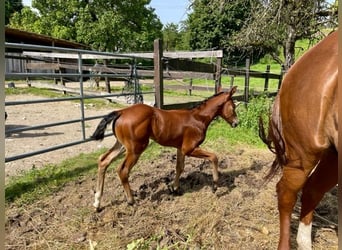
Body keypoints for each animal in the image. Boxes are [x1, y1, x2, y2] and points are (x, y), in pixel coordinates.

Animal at [91, 87, 238, 210]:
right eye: (233, 106)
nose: (236, 123)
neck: (198, 118)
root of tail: (121, 112)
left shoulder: (180, 148)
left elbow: (179, 167)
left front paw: (175, 188)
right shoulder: (190, 148)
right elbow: (214, 157)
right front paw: (215, 186)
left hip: (121, 145)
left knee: (103, 161)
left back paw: (97, 202)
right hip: (135, 148)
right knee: (123, 170)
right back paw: (131, 200)